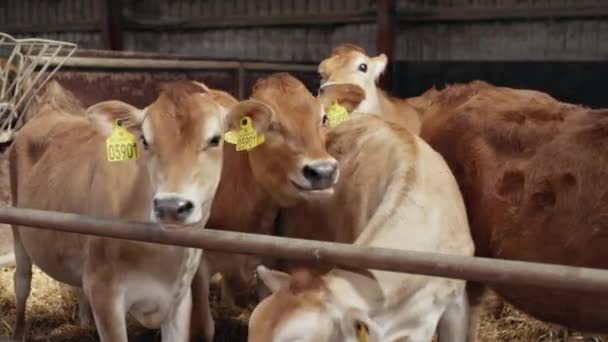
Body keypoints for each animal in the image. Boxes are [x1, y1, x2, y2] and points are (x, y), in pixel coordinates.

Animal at [9, 81, 228, 342]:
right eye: (144, 140)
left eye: (215, 139)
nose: (170, 206)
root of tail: (49, 110)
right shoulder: (104, 293)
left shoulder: (180, 300)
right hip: (18, 232)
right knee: (22, 282)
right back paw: (18, 332)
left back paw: (84, 323)